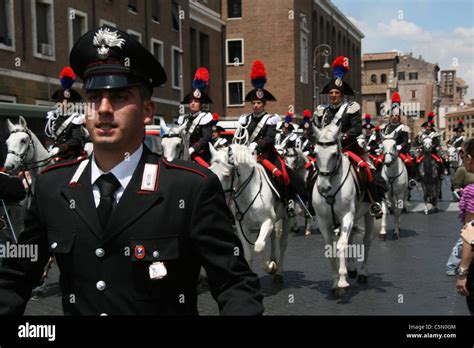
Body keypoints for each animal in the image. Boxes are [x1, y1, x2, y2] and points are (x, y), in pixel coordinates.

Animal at [210, 144, 294, 282]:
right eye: (211, 171)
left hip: (287, 219)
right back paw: (273, 259)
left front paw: (270, 267)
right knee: (272, 238)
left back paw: (278, 272)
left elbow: (259, 246)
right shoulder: (243, 226)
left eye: (226, 175)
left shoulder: (267, 222)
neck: (249, 193)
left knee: (282, 243)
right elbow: (248, 254)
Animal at [312, 123, 378, 298]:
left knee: (367, 241)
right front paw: (336, 281)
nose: (323, 187)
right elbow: (330, 246)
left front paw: (342, 283)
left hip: (368, 215)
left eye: (334, 154)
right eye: (315, 153)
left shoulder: (347, 216)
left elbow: (341, 244)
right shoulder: (323, 221)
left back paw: (362, 273)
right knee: (351, 237)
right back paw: (353, 268)